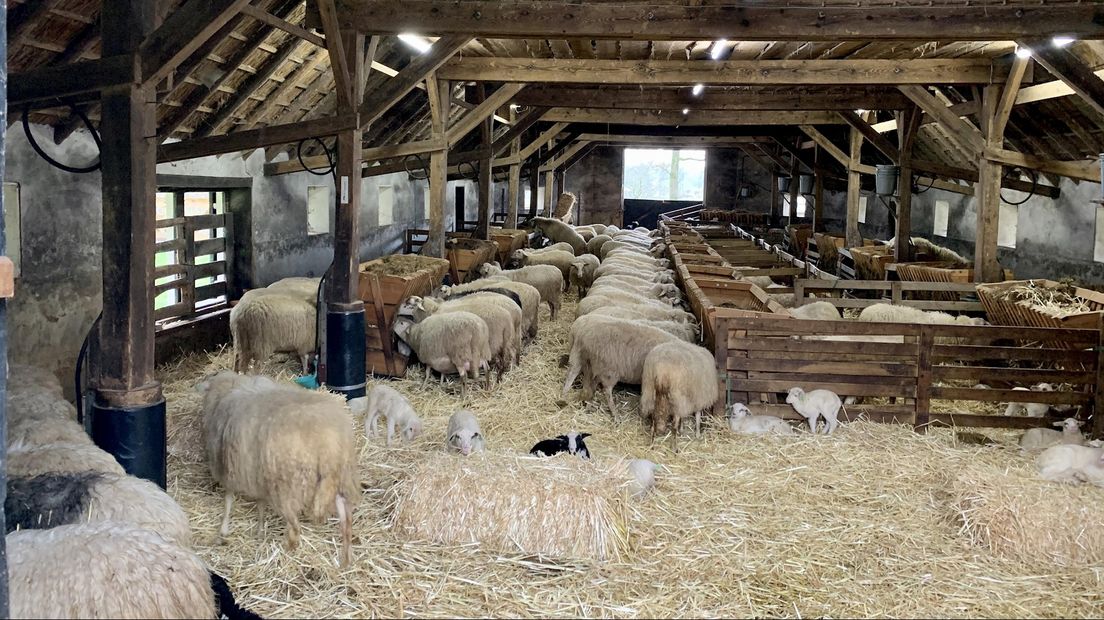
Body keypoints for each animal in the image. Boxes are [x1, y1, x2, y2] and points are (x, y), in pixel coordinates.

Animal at [196, 368, 355, 562]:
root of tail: (324, 440)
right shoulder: (256, 471)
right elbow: (260, 503)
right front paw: (259, 528)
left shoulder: (231, 469)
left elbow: (228, 499)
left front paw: (223, 530)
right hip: (336, 478)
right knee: (346, 519)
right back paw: (346, 558)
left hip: (286, 486)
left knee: (295, 527)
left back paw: (289, 549)